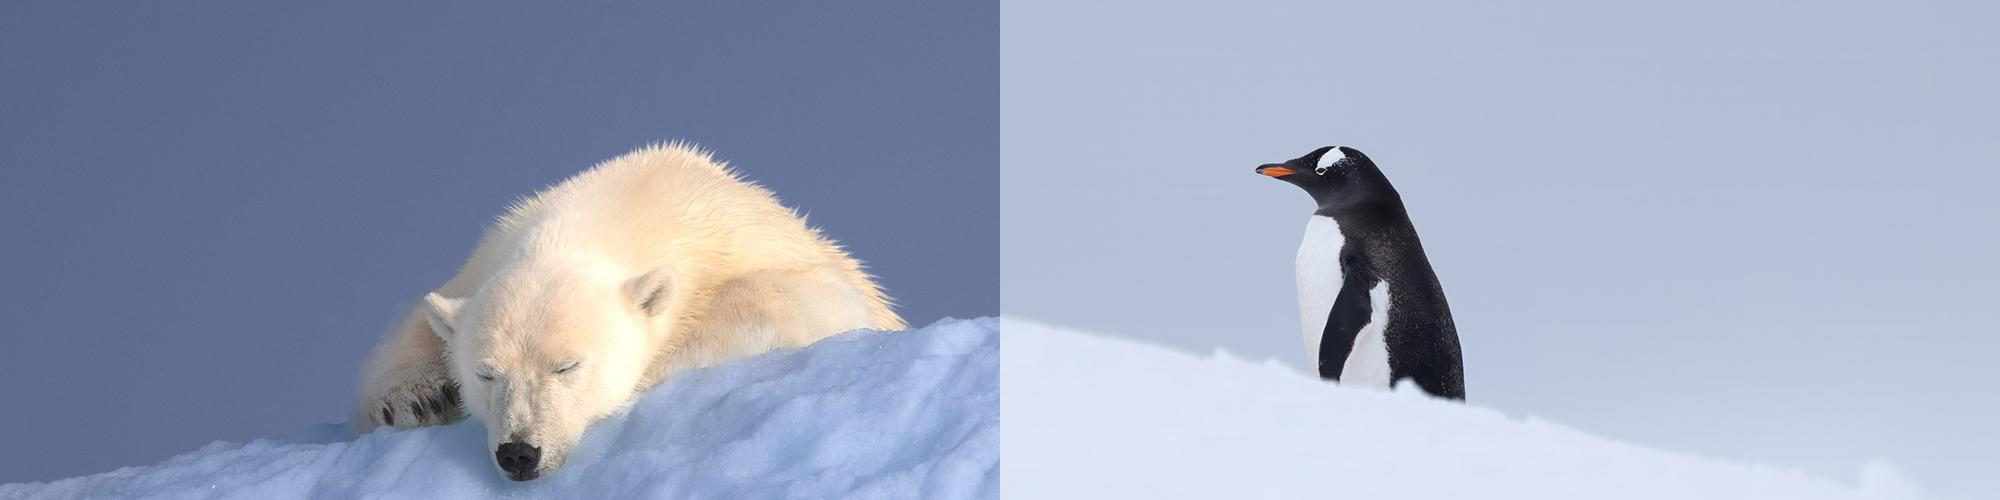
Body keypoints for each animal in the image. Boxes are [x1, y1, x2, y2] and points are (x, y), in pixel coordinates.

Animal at [353, 143, 906, 481]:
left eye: (567, 366)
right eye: (486, 374)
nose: (519, 453)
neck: (642, 197)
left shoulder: (751, 242)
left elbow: (809, 296)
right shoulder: (486, 255)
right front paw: (412, 398)